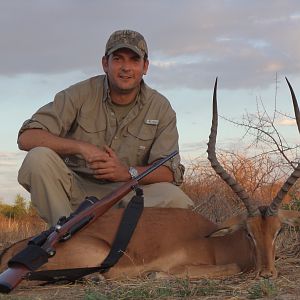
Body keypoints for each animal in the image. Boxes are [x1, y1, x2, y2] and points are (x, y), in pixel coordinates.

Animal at [0, 78, 300, 282]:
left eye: (278, 231)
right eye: (249, 232)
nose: (267, 273)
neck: (217, 243)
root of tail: (12, 252)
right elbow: (230, 267)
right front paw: (155, 275)